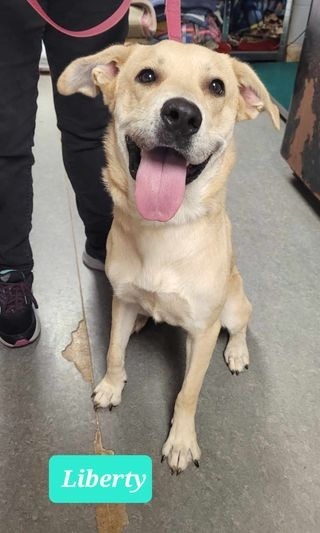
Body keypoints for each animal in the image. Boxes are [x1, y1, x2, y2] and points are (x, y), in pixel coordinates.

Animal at [58, 42, 280, 474]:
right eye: (146, 75)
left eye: (217, 86)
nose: (182, 115)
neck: (164, 231)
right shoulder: (121, 299)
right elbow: (113, 352)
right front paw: (110, 387)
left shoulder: (204, 331)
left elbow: (188, 392)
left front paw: (180, 442)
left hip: (234, 307)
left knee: (241, 325)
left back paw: (237, 352)